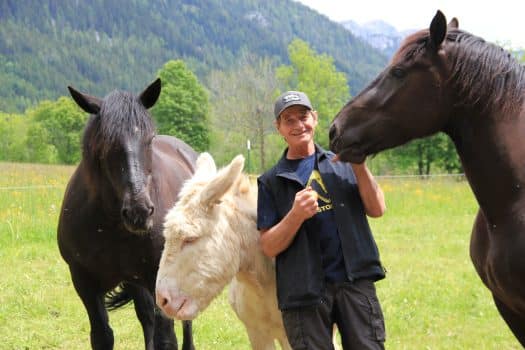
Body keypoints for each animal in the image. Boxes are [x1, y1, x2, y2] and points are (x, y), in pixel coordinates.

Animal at [56, 79, 198, 350]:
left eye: (149, 139)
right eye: (104, 144)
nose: (139, 211)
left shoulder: (159, 277)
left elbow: (166, 338)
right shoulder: (84, 282)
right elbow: (103, 336)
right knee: (146, 317)